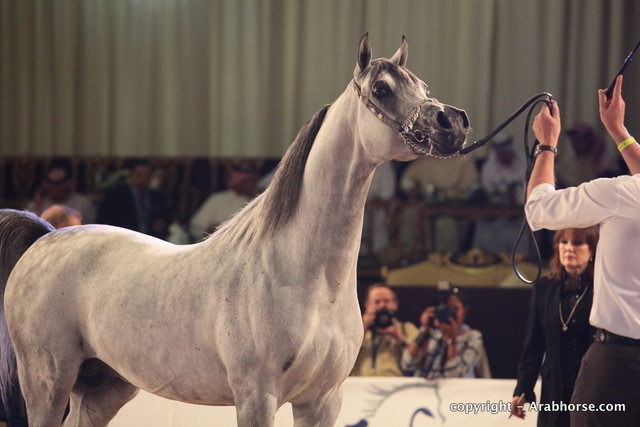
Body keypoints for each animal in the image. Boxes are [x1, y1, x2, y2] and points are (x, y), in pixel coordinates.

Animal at [0, 34, 469, 426]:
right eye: (381, 90)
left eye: (423, 86)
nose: (454, 122)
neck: (306, 278)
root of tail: (46, 236)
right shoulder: (256, 397)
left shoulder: (322, 401)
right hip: (47, 385)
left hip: (104, 387)